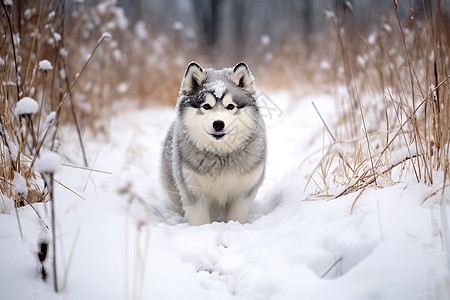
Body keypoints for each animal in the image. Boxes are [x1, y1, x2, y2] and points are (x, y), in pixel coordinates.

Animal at [161, 61, 268, 225]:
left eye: (230, 106)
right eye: (206, 106)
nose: (218, 124)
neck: (221, 155)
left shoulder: (243, 192)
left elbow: (236, 217)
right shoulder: (194, 191)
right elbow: (200, 220)